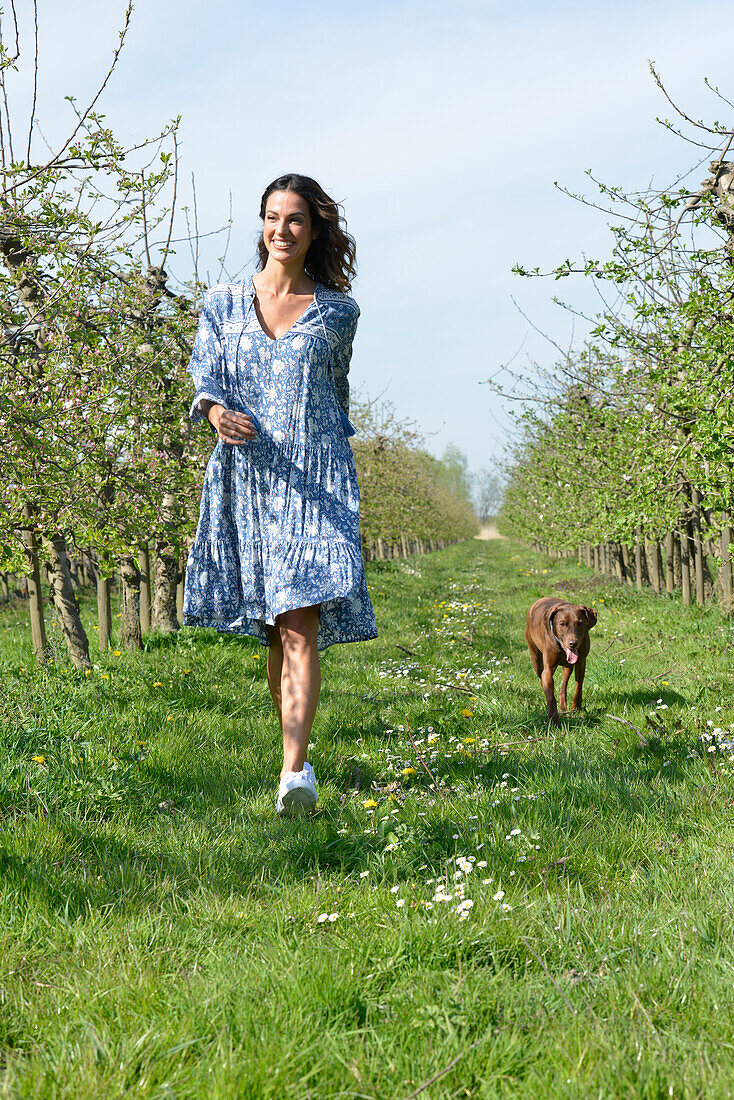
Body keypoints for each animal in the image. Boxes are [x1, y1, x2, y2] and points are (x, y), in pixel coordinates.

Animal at [521, 598, 598, 726]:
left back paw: (563, 707)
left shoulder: (581, 663)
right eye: (562, 624)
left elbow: (578, 687)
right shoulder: (548, 670)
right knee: (541, 677)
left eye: (580, 623)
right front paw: (553, 720)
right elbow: (550, 696)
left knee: (563, 687)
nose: (573, 643)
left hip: (568, 667)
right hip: (535, 659)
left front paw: (576, 709)